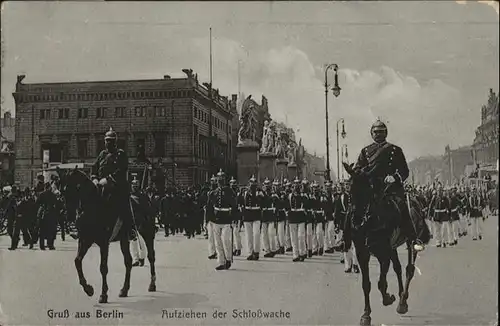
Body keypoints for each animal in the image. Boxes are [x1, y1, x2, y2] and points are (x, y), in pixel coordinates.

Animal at [58, 168, 156, 304]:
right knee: (128, 261)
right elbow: (77, 261)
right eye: (62, 191)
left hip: (147, 233)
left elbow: (103, 268)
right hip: (124, 239)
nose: (69, 216)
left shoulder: (104, 243)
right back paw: (124, 290)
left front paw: (103, 294)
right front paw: (88, 289)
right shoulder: (85, 240)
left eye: (75, 188)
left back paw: (152, 284)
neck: (94, 206)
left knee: (151, 256)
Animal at [344, 163, 430, 326]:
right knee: (398, 268)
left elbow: (381, 282)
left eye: (368, 190)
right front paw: (366, 314)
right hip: (393, 248)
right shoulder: (363, 253)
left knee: (409, 269)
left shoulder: (383, 253)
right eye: (350, 189)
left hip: (410, 241)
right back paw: (401, 295)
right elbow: (367, 284)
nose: (356, 222)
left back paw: (403, 301)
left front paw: (387, 299)